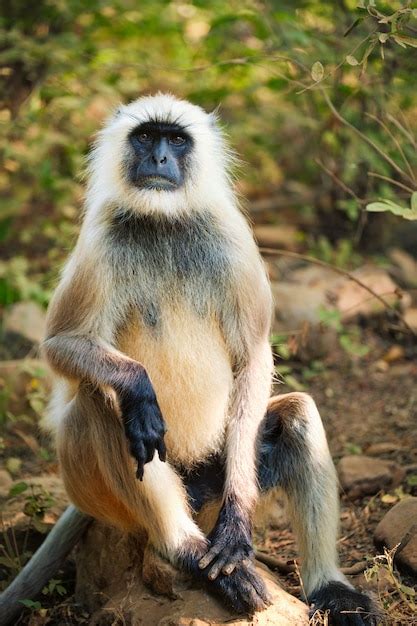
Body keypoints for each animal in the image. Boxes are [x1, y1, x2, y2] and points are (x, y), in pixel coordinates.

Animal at [39, 95, 376, 620]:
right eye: (145, 136)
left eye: (176, 140)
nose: (159, 158)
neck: (165, 222)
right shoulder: (99, 243)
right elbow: (60, 345)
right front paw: (139, 387)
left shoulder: (232, 239)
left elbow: (254, 356)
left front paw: (238, 527)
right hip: (92, 489)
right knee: (104, 402)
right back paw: (188, 551)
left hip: (220, 472)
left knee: (297, 415)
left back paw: (329, 587)